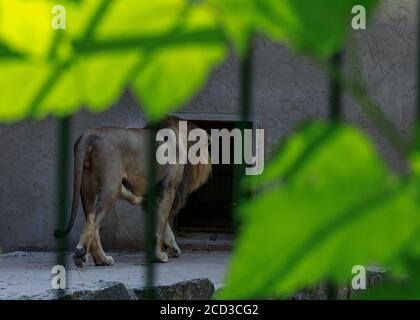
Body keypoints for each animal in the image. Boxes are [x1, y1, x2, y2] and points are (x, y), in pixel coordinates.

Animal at [55, 116, 212, 266]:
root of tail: (89, 135)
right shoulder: (168, 188)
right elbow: (160, 225)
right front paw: (159, 257)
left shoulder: (153, 196)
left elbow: (163, 225)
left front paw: (171, 248)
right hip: (110, 187)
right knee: (93, 218)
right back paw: (81, 254)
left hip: (87, 190)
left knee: (93, 224)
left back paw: (102, 260)